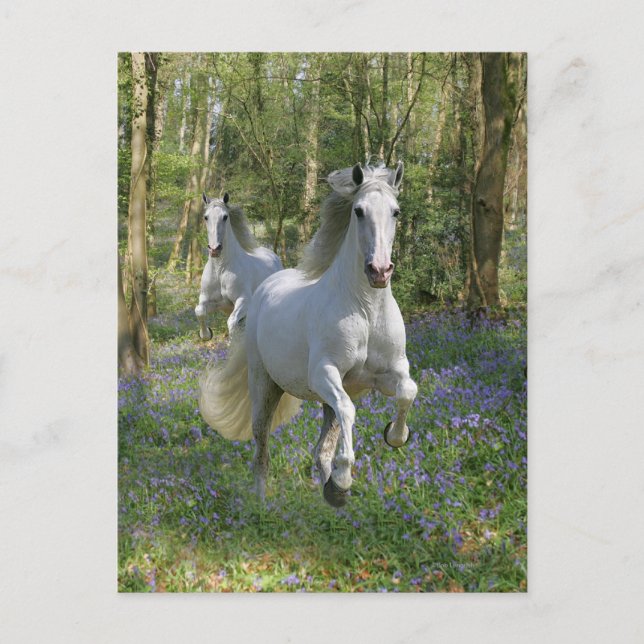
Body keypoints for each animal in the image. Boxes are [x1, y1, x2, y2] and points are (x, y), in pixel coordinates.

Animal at [195, 192, 282, 339]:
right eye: (206, 217)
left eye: (225, 216)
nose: (215, 249)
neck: (220, 270)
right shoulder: (210, 301)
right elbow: (199, 311)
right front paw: (206, 334)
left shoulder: (244, 300)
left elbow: (232, 323)